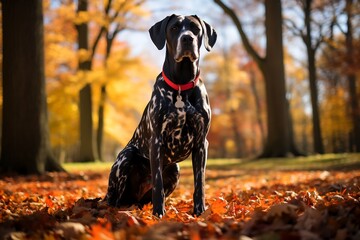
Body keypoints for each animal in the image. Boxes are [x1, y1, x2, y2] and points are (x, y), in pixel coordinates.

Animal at [105, 14, 217, 218]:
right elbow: (158, 185)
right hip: (125, 159)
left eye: (196, 28)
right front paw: (158, 215)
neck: (181, 85)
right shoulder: (156, 141)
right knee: (113, 200)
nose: (187, 38)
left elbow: (200, 184)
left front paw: (199, 212)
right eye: (174, 28)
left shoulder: (201, 143)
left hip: (175, 169)